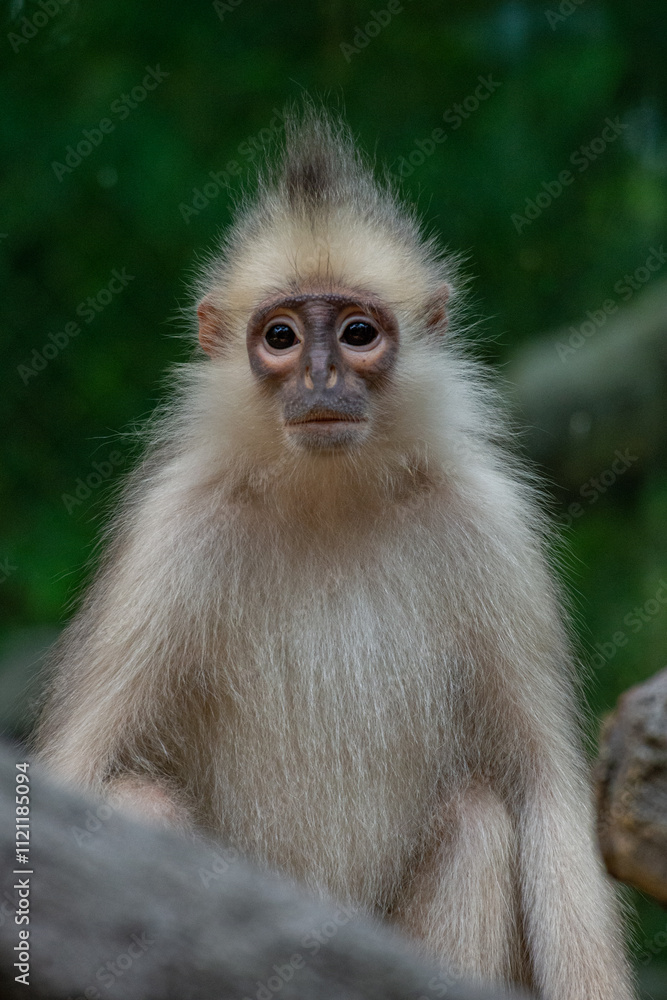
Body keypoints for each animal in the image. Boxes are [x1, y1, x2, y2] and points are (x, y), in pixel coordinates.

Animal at [34, 106, 635, 1000]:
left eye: (357, 334)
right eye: (281, 337)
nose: (319, 379)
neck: (330, 504)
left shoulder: (489, 524)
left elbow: (545, 800)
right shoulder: (171, 532)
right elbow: (79, 772)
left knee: (478, 819)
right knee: (137, 798)